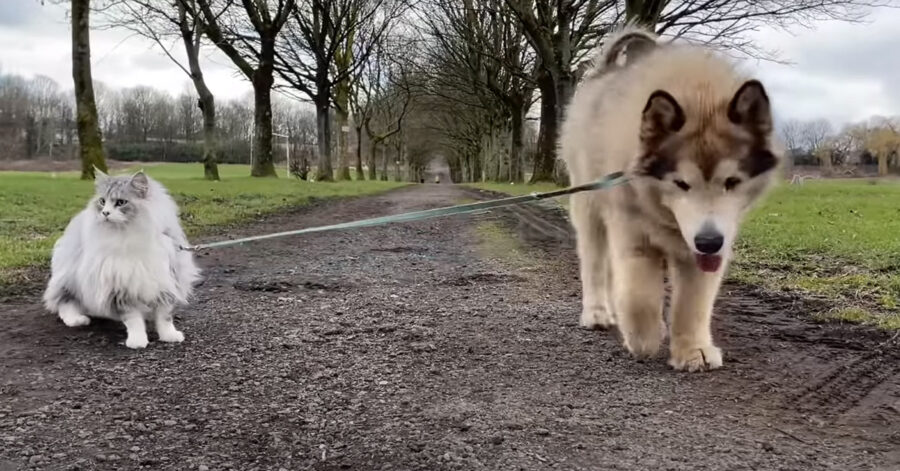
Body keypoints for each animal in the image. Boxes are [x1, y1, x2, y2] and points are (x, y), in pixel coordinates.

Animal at [43, 171, 200, 348]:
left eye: (120, 202)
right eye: (102, 201)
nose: (105, 213)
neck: (129, 237)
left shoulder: (166, 281)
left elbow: (165, 317)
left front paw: (170, 336)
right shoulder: (120, 288)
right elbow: (133, 320)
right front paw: (137, 341)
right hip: (70, 279)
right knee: (64, 301)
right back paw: (76, 319)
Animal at [564, 28, 780, 372]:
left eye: (732, 182)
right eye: (681, 183)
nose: (708, 242)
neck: (698, 93)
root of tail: (606, 71)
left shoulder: (709, 247)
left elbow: (693, 302)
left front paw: (693, 350)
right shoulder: (632, 233)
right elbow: (637, 295)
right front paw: (643, 337)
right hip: (590, 207)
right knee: (596, 263)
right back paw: (598, 312)